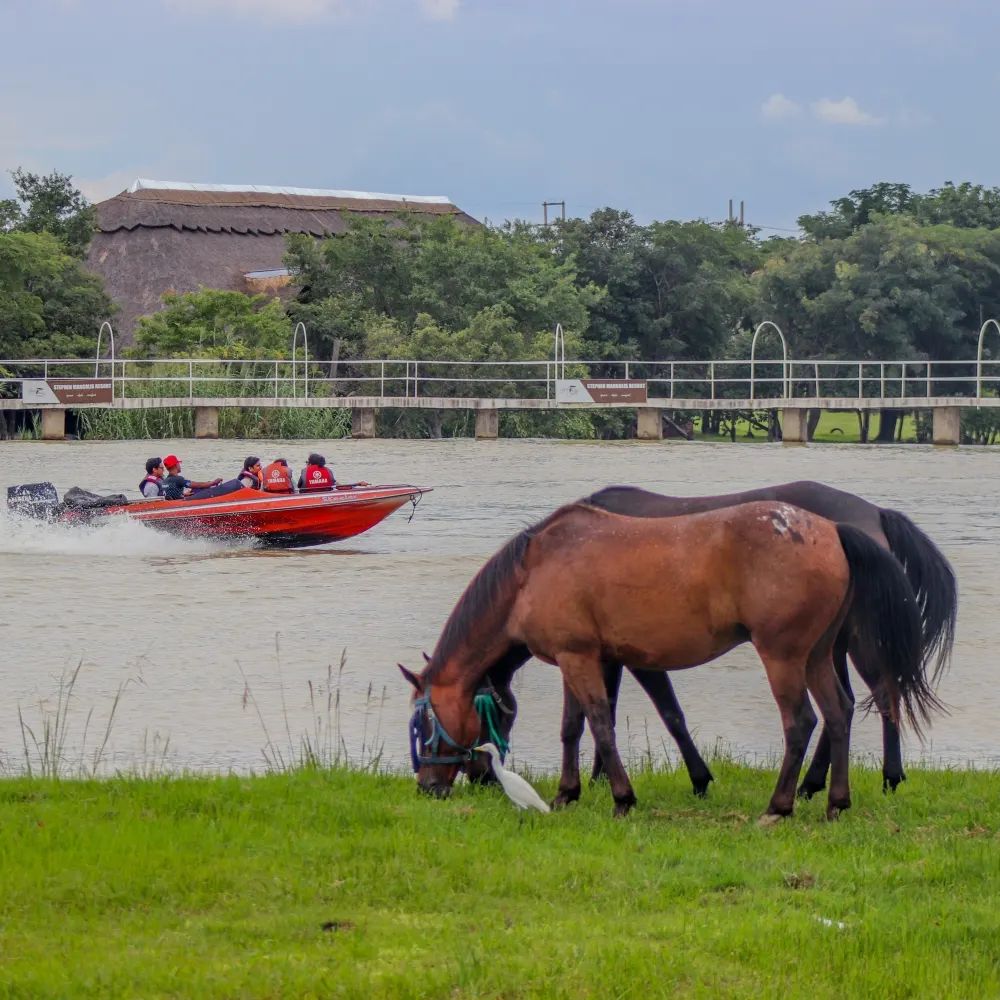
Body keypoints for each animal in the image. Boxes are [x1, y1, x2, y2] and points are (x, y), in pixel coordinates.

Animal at [400, 500, 936, 820]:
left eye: (422, 723)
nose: (427, 785)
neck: (531, 572)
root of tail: (831, 529)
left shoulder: (580, 658)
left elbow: (600, 724)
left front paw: (622, 798)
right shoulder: (578, 658)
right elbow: (572, 728)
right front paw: (567, 793)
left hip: (784, 656)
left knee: (801, 721)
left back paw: (779, 805)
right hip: (818, 655)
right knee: (839, 712)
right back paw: (836, 803)